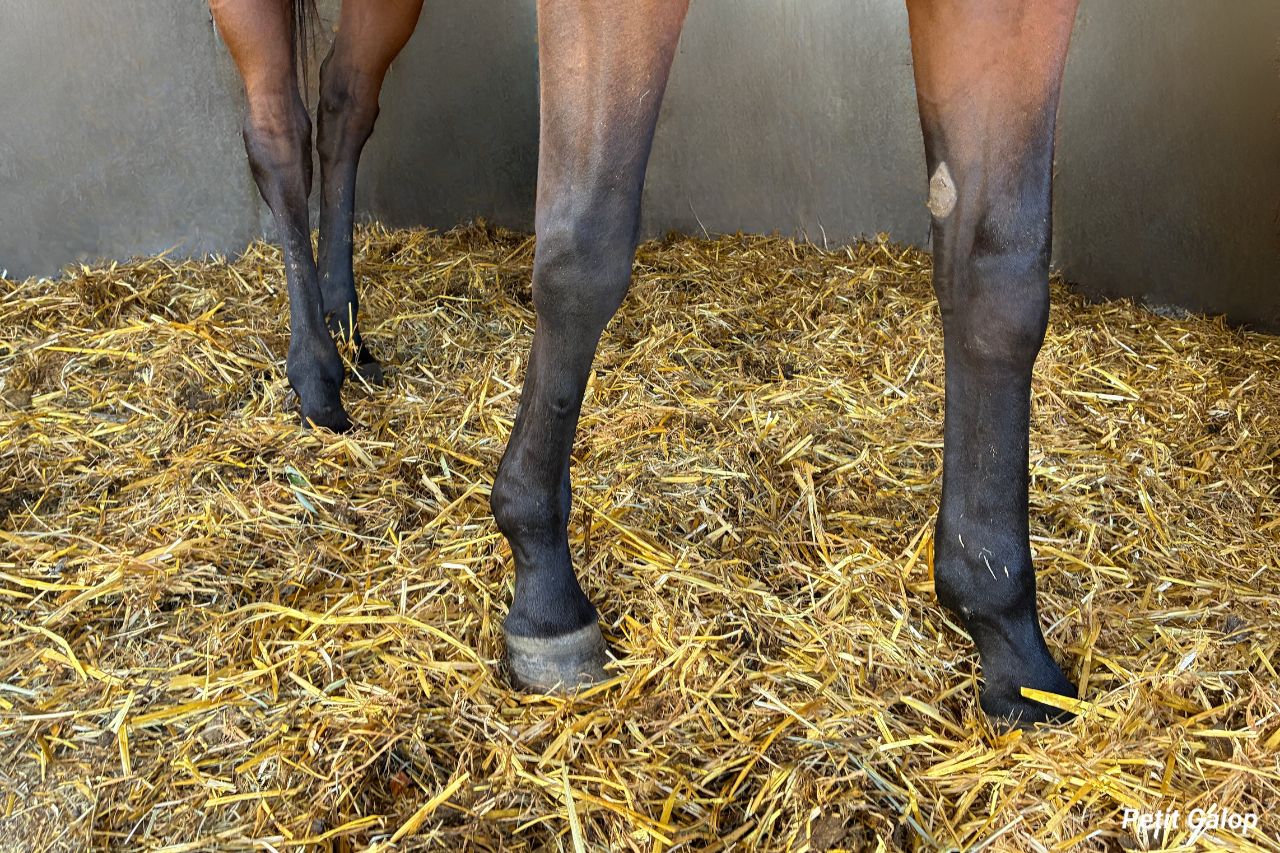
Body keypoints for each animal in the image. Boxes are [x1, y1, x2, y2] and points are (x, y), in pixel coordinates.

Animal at [209, 0, 1080, 726]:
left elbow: (998, 277)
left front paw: (1008, 638)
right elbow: (585, 243)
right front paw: (544, 590)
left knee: (343, 102)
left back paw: (344, 321)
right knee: (277, 134)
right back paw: (315, 373)